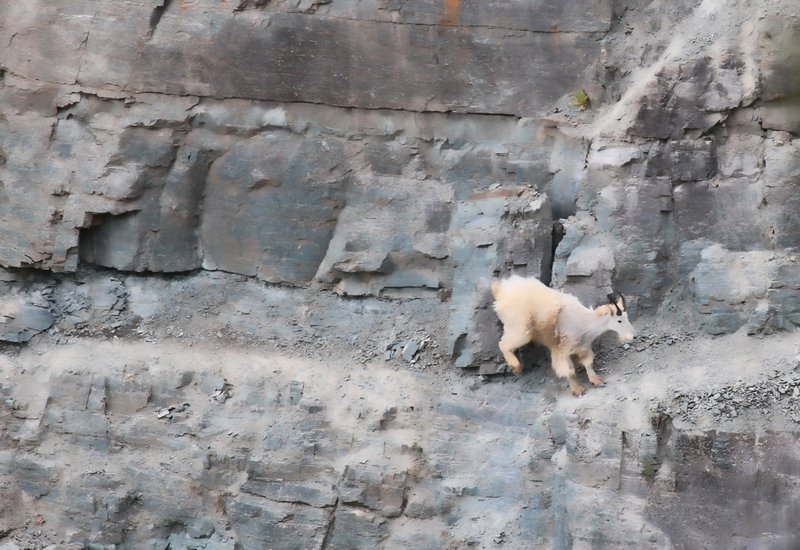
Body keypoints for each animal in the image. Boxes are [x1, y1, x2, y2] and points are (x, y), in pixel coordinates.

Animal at [490, 275, 636, 396]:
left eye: (627, 317)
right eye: (619, 320)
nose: (632, 336)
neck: (585, 322)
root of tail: (500, 291)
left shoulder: (584, 346)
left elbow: (588, 362)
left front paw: (596, 380)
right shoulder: (562, 350)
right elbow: (569, 370)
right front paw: (577, 389)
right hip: (520, 327)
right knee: (504, 344)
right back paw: (516, 367)